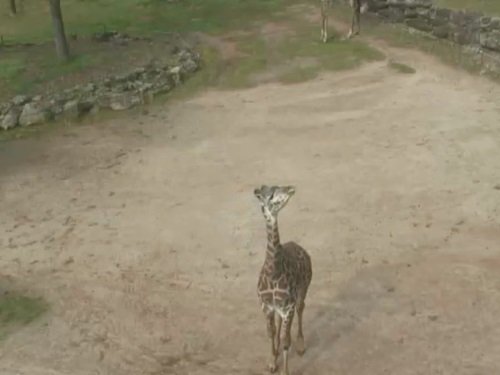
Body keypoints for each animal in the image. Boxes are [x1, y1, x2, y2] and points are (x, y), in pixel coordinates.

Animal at [254, 186, 312, 375]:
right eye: (271, 194)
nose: (290, 188)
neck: (273, 273)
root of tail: (301, 249)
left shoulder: (288, 308)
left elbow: (287, 341)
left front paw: (285, 370)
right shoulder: (267, 306)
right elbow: (271, 332)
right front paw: (272, 361)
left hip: (303, 290)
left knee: (301, 308)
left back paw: (300, 345)